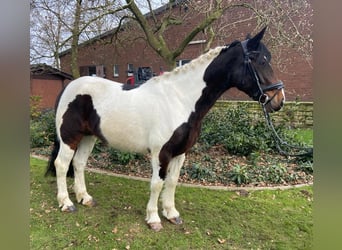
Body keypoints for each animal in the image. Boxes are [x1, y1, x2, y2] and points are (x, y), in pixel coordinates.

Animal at [46, 27, 286, 230]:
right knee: (62, 165)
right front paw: (153, 219)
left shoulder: (180, 153)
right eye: (259, 61)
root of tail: (70, 86)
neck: (180, 100)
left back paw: (84, 198)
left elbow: (171, 182)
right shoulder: (160, 153)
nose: (279, 100)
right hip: (69, 138)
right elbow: (157, 184)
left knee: (78, 164)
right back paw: (66, 203)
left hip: (88, 137)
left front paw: (171, 214)